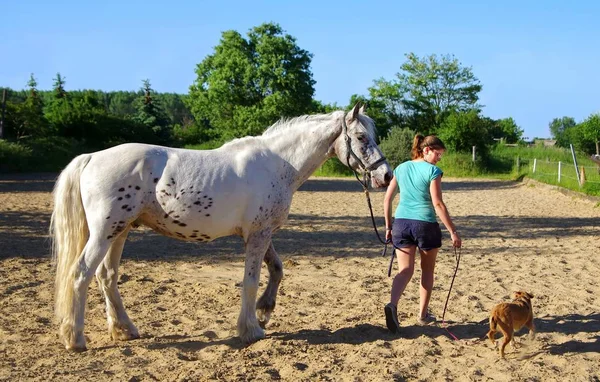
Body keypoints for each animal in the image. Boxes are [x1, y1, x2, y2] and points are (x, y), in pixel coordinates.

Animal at [50, 103, 390, 350]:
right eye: (362, 138)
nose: (385, 176)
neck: (277, 163)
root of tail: (91, 157)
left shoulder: (262, 233)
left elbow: (277, 270)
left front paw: (264, 311)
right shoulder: (257, 235)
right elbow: (251, 280)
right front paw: (251, 328)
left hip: (120, 231)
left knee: (106, 276)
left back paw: (124, 330)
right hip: (105, 233)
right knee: (81, 274)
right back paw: (76, 339)